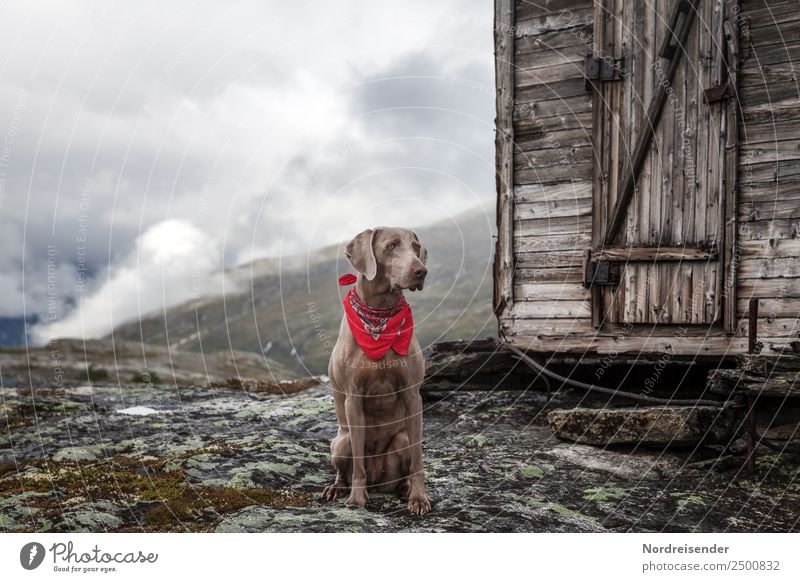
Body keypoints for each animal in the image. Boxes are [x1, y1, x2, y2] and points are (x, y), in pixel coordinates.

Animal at [324, 228, 432, 516]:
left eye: (415, 247)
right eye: (391, 246)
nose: (421, 271)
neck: (380, 314)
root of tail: (378, 483)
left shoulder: (412, 395)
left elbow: (418, 461)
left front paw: (419, 498)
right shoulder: (353, 398)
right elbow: (358, 464)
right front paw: (356, 499)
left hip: (401, 440)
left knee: (405, 464)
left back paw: (404, 489)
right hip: (341, 441)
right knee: (347, 466)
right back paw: (338, 488)